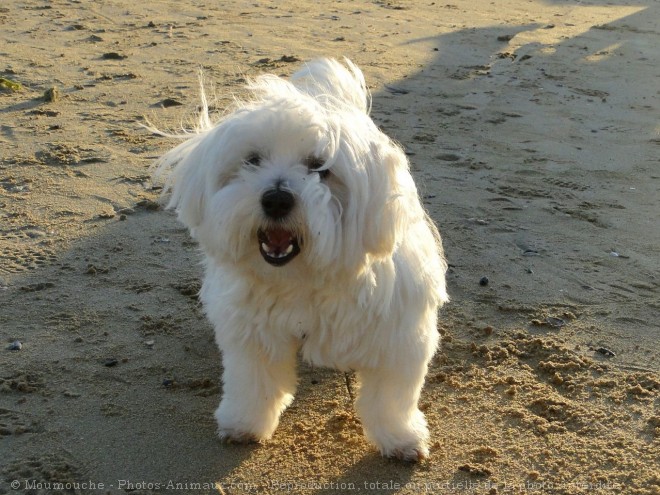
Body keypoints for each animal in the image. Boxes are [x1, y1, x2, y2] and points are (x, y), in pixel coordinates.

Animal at [153, 60, 448, 464]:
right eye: (253, 160)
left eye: (320, 167)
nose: (276, 199)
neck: (304, 277)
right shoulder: (255, 334)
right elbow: (254, 383)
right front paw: (245, 423)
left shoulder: (398, 335)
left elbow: (391, 397)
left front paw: (400, 438)